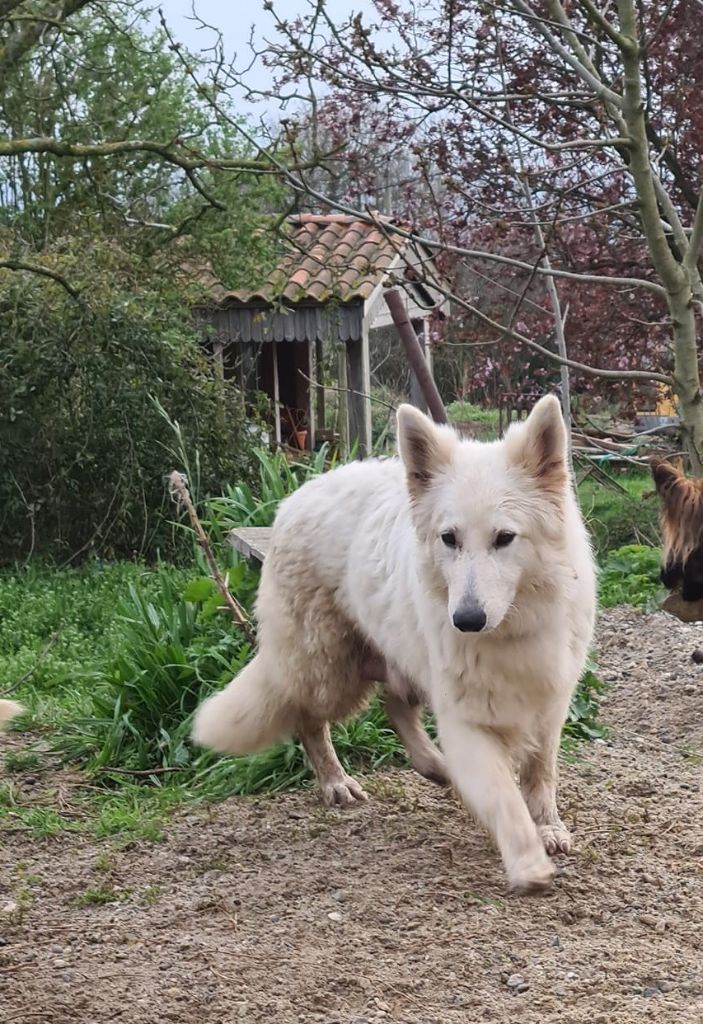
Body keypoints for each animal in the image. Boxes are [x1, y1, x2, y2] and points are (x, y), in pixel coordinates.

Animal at [195, 395, 597, 892]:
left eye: (505, 538)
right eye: (449, 539)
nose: (466, 620)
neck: (509, 629)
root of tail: (299, 492)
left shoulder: (548, 707)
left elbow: (540, 775)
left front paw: (547, 827)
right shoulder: (466, 720)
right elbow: (503, 796)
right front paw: (527, 858)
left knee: (395, 706)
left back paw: (436, 767)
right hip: (333, 673)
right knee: (308, 717)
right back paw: (335, 782)